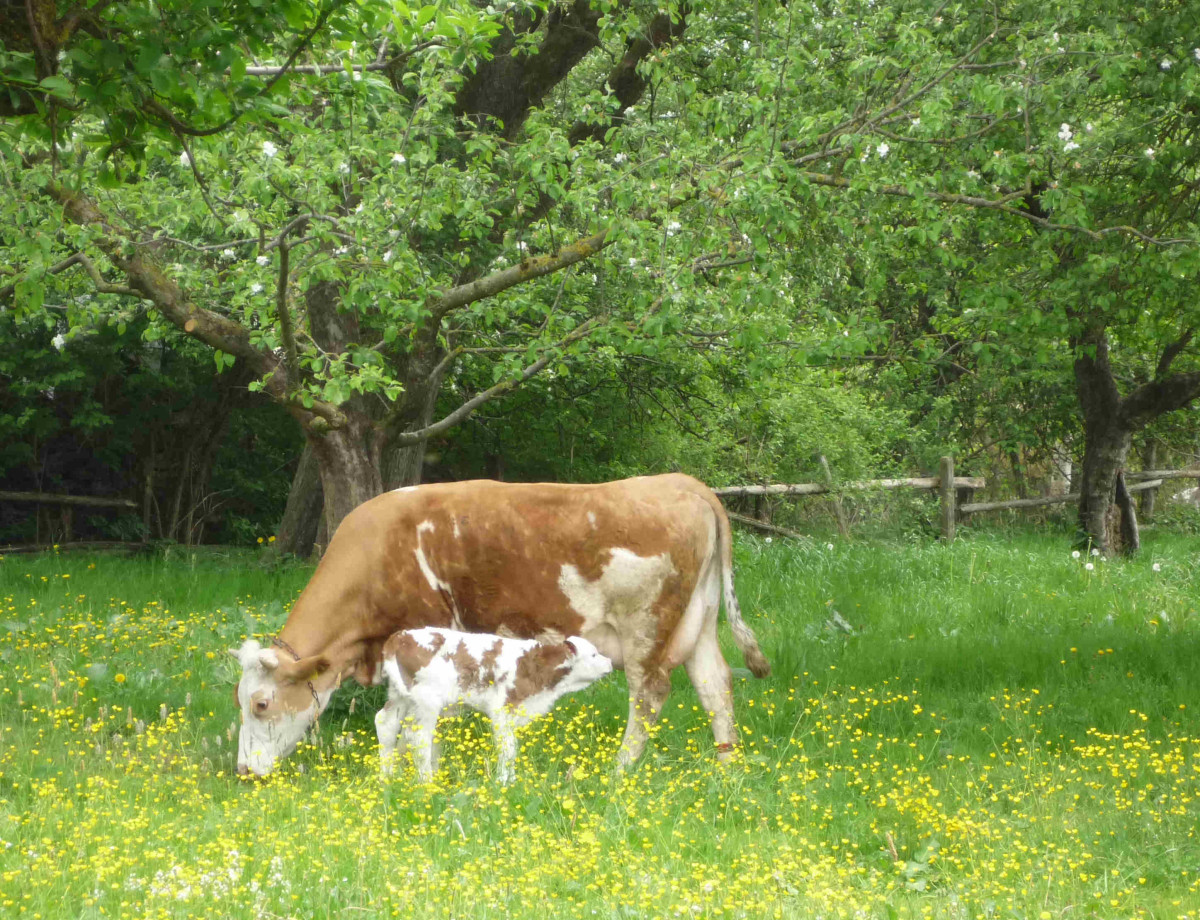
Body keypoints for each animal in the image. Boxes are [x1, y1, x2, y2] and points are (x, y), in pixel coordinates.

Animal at [375, 628, 613, 783]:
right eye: (593, 654)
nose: (610, 662)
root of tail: (400, 637)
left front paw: (511, 780)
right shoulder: (503, 709)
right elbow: (507, 747)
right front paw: (504, 781)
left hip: (400, 695)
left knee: (386, 724)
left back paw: (387, 778)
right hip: (428, 701)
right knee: (418, 737)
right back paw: (427, 782)